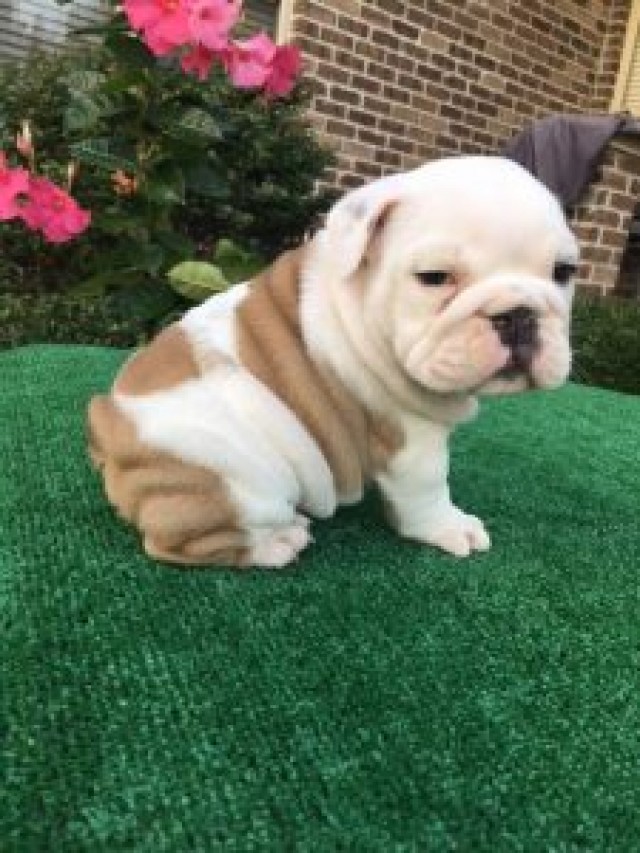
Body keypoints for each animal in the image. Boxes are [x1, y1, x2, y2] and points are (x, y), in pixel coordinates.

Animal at [87, 156, 576, 568]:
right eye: (434, 278)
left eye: (564, 272)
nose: (518, 315)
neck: (359, 304)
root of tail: (106, 431)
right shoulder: (409, 436)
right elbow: (428, 487)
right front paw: (449, 527)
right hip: (237, 481)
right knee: (177, 543)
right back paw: (277, 542)